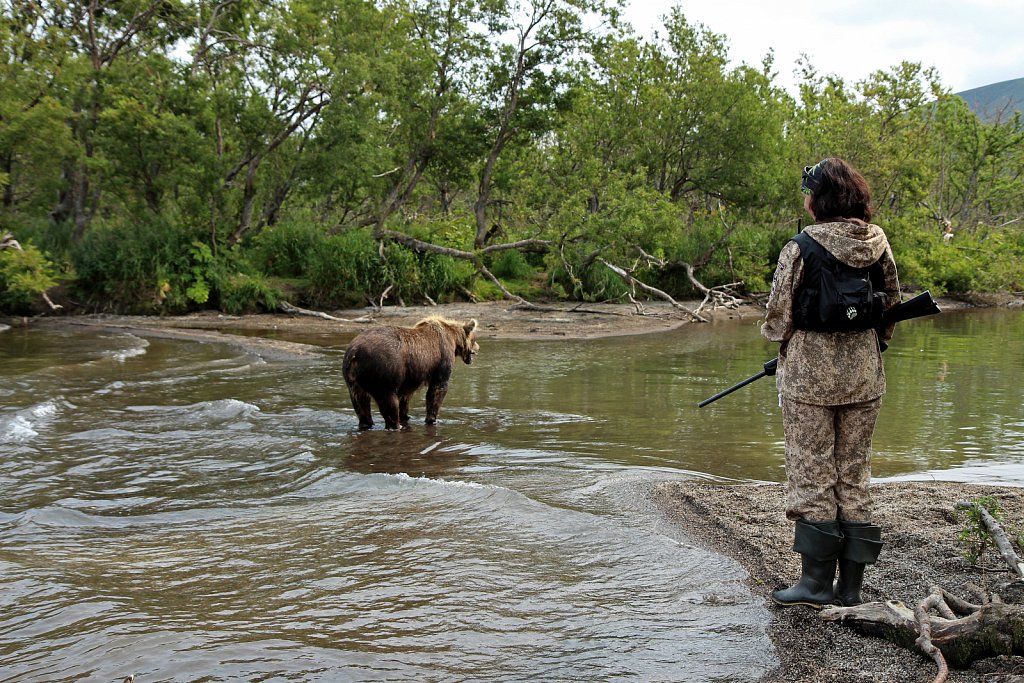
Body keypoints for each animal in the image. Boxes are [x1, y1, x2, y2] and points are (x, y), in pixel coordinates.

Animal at [339, 317, 475, 430]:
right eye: (474, 339)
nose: (477, 348)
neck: (454, 340)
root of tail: (355, 352)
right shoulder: (442, 358)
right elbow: (438, 388)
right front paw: (432, 419)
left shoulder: (409, 375)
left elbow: (405, 396)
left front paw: (406, 415)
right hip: (384, 370)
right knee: (389, 403)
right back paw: (396, 426)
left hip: (353, 379)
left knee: (361, 403)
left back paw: (366, 424)